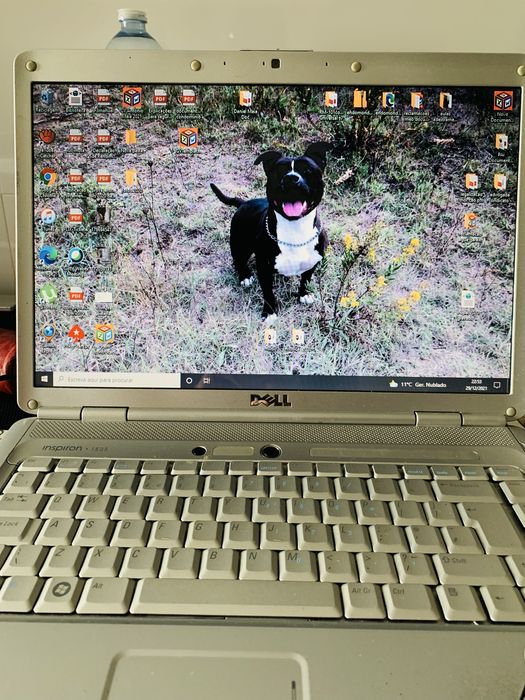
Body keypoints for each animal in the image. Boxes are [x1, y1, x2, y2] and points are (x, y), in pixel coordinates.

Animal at [211, 142, 329, 318]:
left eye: (307, 170)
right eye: (279, 171)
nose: (291, 178)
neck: (294, 228)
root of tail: (243, 203)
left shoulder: (313, 261)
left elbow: (306, 278)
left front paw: (304, 294)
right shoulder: (263, 269)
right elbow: (268, 292)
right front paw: (270, 312)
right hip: (240, 244)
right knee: (238, 260)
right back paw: (245, 276)